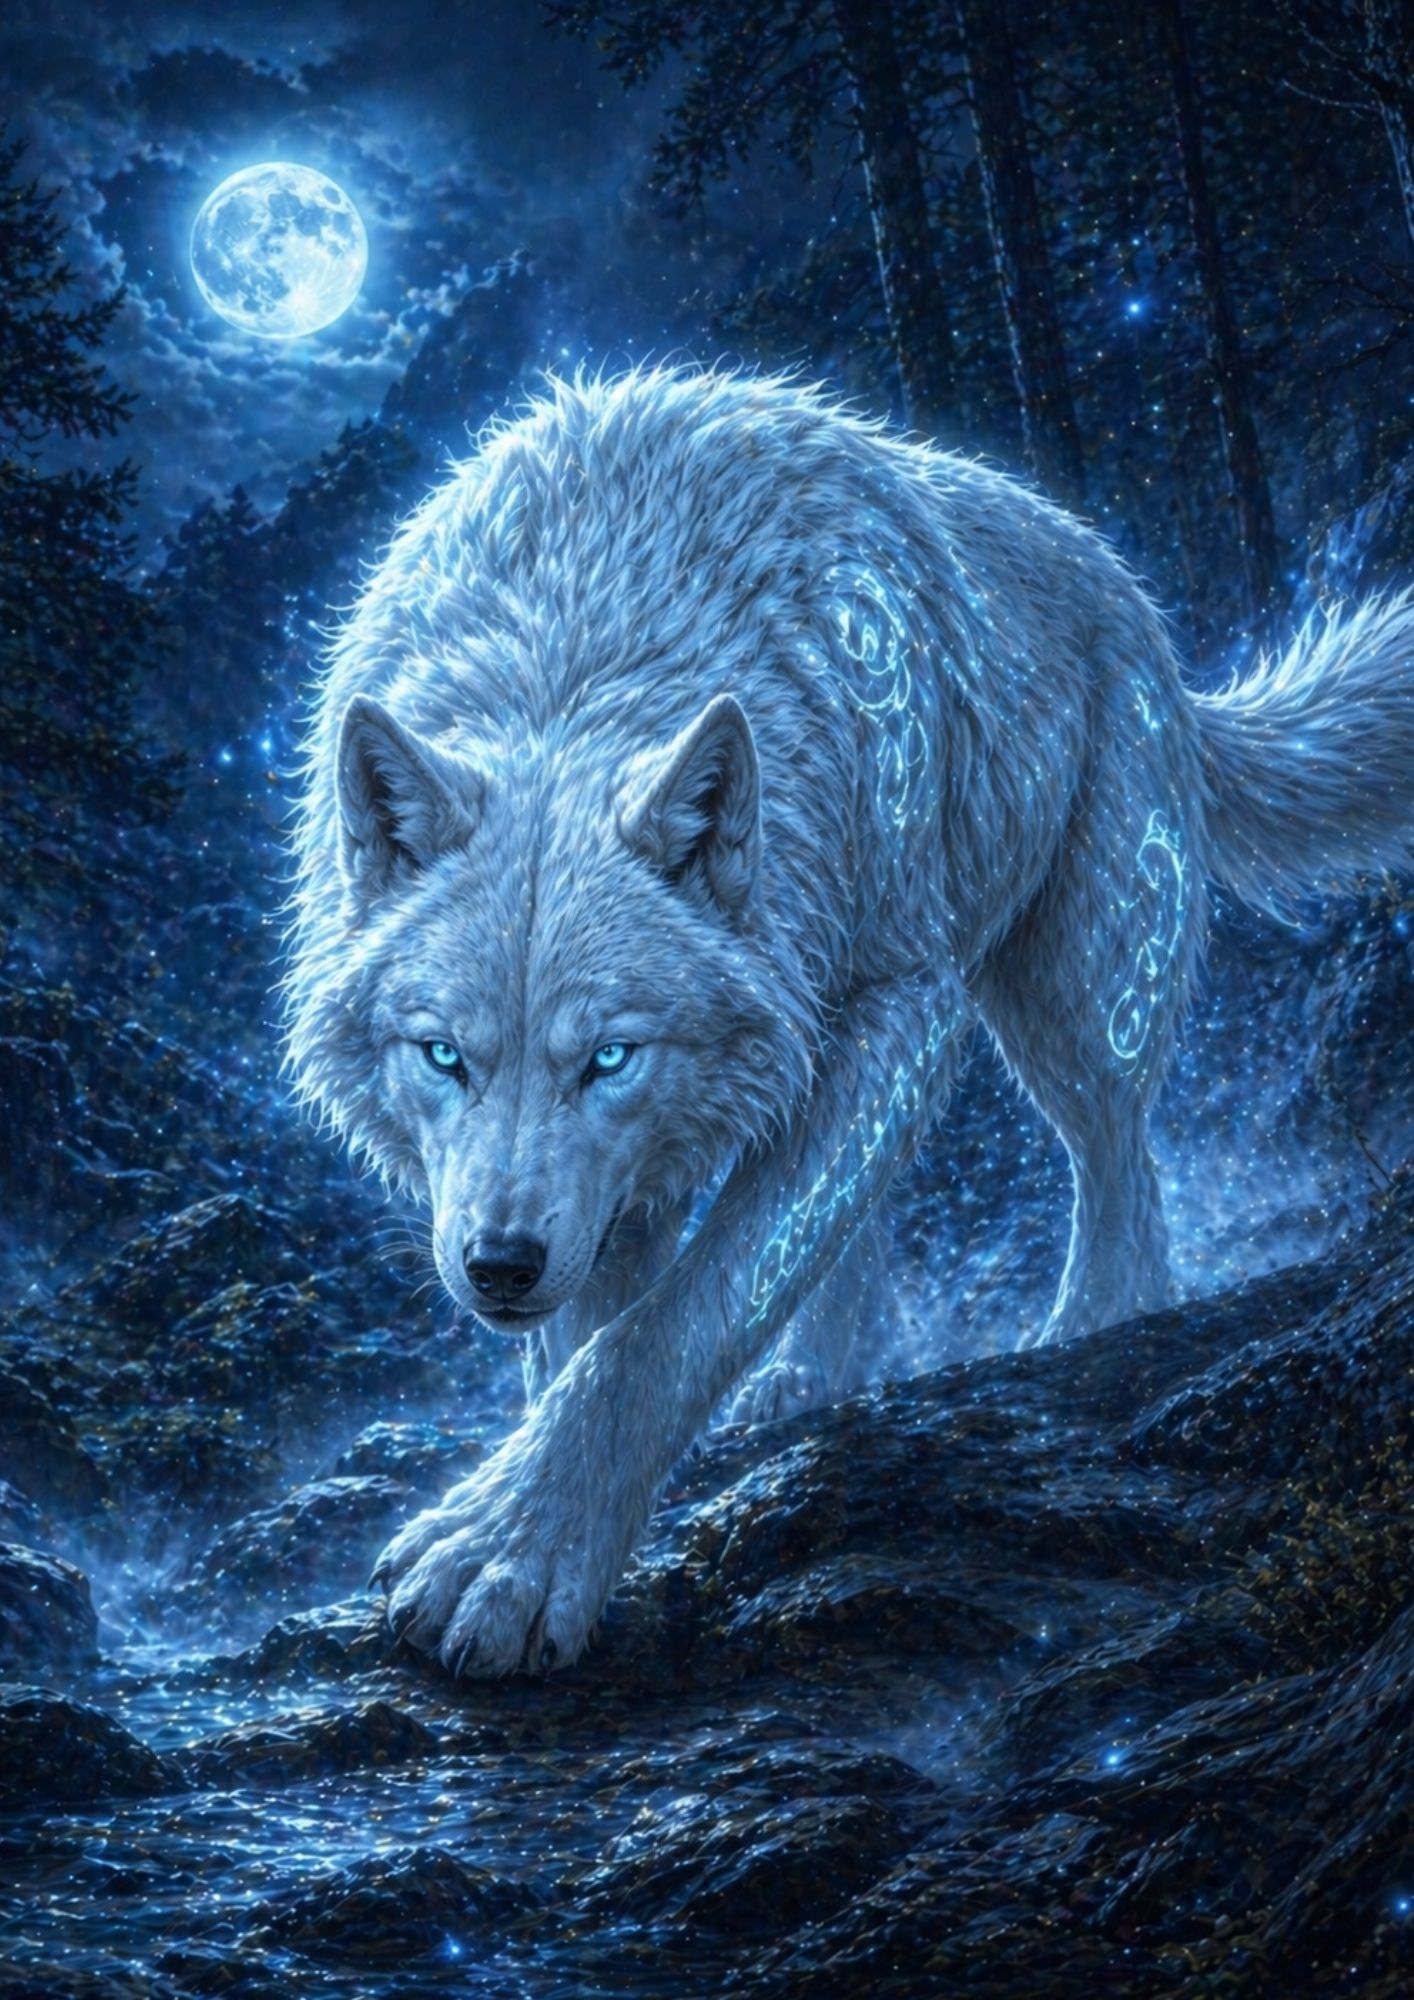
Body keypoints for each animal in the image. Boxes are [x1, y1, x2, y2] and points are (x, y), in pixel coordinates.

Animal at [285, 366, 1414, 1677]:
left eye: (610, 1056)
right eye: (443, 1056)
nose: (499, 1265)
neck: (586, 639)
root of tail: (1131, 599)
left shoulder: (898, 999)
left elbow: (667, 1327)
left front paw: (514, 1553)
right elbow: (608, 1331)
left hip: (1074, 993)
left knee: (1117, 1166)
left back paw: (1085, 1330)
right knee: (863, 1228)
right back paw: (816, 1381)